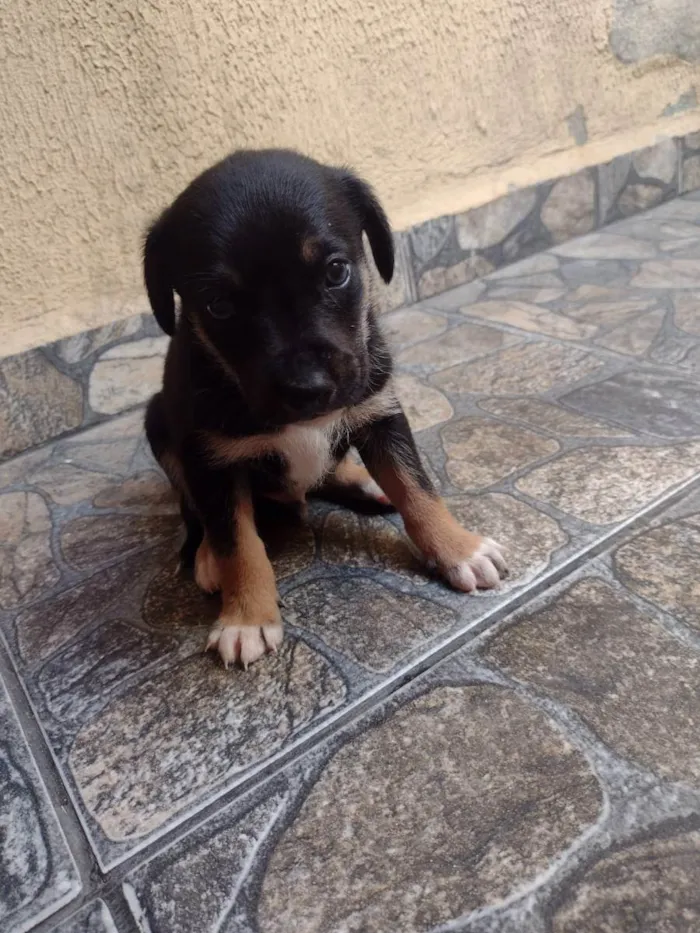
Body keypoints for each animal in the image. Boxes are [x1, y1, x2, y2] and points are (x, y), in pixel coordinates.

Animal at [142, 149, 506, 668]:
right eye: (218, 306)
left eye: (336, 271)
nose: (308, 389)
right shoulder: (211, 459)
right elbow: (238, 542)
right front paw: (245, 618)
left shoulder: (380, 410)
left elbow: (417, 488)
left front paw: (460, 550)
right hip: (157, 424)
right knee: (193, 513)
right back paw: (205, 556)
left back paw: (366, 481)